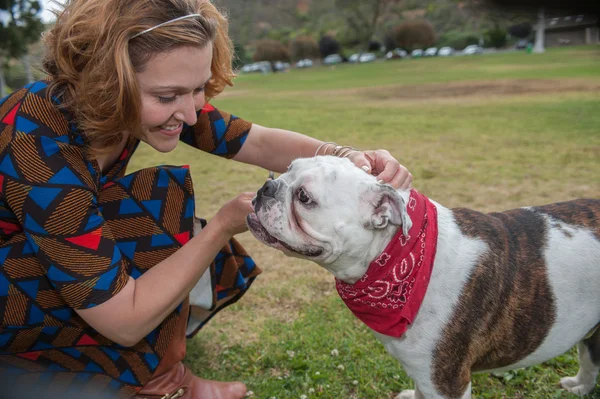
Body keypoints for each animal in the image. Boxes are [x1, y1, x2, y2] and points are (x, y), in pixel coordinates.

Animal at [245, 156, 600, 399]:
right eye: (287, 168)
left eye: (304, 198)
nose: (266, 187)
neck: (395, 255)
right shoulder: (424, 375)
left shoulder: (445, 382)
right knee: (590, 359)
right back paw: (579, 387)